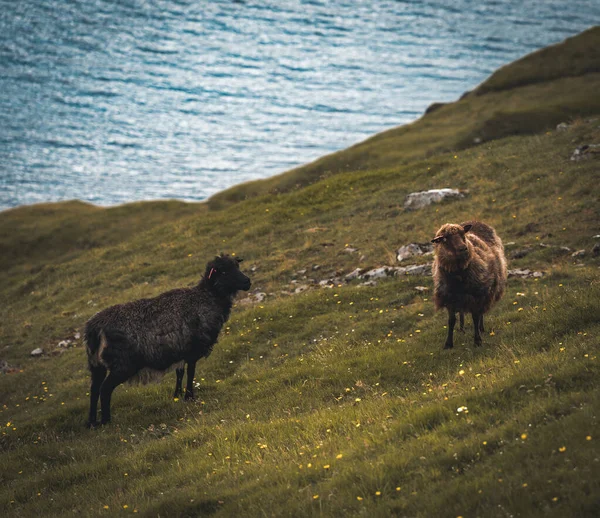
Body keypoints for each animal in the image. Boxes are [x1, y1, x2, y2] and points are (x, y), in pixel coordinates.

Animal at [432, 221, 506, 352]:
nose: (463, 248)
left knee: (481, 313)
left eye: (463, 235)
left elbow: (475, 317)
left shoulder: (477, 295)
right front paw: (448, 344)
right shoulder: (450, 299)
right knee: (462, 313)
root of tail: (475, 221)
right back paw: (462, 329)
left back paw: (481, 328)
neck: (458, 276)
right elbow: (451, 321)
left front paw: (477, 340)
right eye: (445, 239)